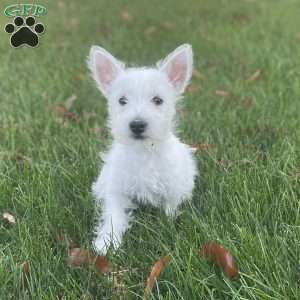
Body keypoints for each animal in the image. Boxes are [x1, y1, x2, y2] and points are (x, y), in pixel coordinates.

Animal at [88, 44, 198, 253]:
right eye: (122, 101)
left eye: (158, 100)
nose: (137, 125)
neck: (144, 152)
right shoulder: (116, 189)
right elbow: (114, 215)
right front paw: (106, 241)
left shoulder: (173, 188)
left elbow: (170, 208)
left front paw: (169, 225)